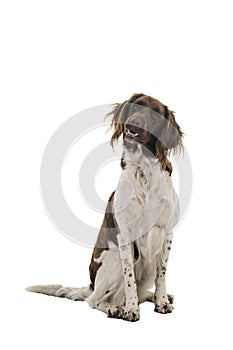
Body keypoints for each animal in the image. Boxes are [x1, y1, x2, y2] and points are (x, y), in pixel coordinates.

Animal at [26, 93, 184, 322]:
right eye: (136, 106)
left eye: (155, 116)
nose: (134, 123)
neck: (144, 173)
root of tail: (91, 285)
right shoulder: (125, 236)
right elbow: (129, 280)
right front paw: (131, 310)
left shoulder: (167, 232)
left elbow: (161, 274)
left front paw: (162, 301)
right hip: (113, 259)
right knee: (94, 300)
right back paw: (114, 308)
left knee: (142, 291)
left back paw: (155, 297)